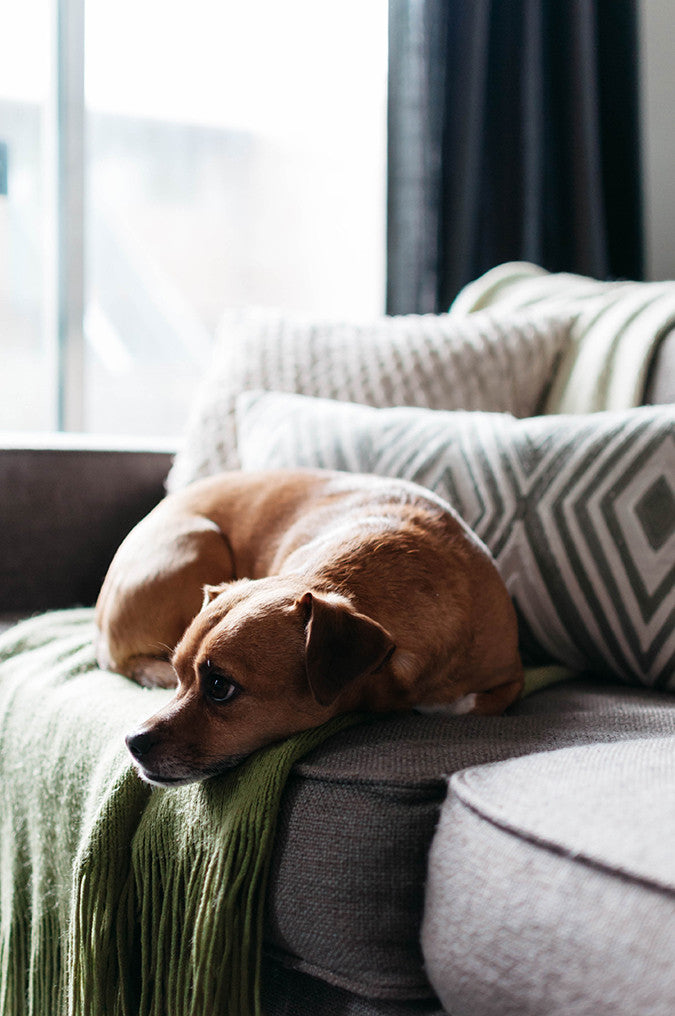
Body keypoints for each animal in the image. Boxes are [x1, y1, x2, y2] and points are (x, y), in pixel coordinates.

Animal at [95, 467, 524, 784]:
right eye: (180, 674)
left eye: (219, 686)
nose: (132, 741)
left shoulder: (512, 678)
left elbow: (476, 703)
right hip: (200, 540)